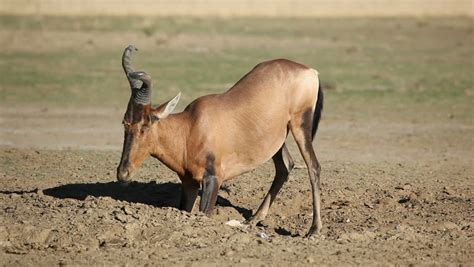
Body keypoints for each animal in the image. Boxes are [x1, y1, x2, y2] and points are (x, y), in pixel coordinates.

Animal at [116, 44, 324, 237]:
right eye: (125, 123)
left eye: (145, 125)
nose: (123, 173)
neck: (191, 126)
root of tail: (310, 71)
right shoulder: (189, 183)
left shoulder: (213, 179)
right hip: (275, 139)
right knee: (285, 166)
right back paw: (254, 219)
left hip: (300, 124)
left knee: (313, 167)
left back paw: (314, 230)